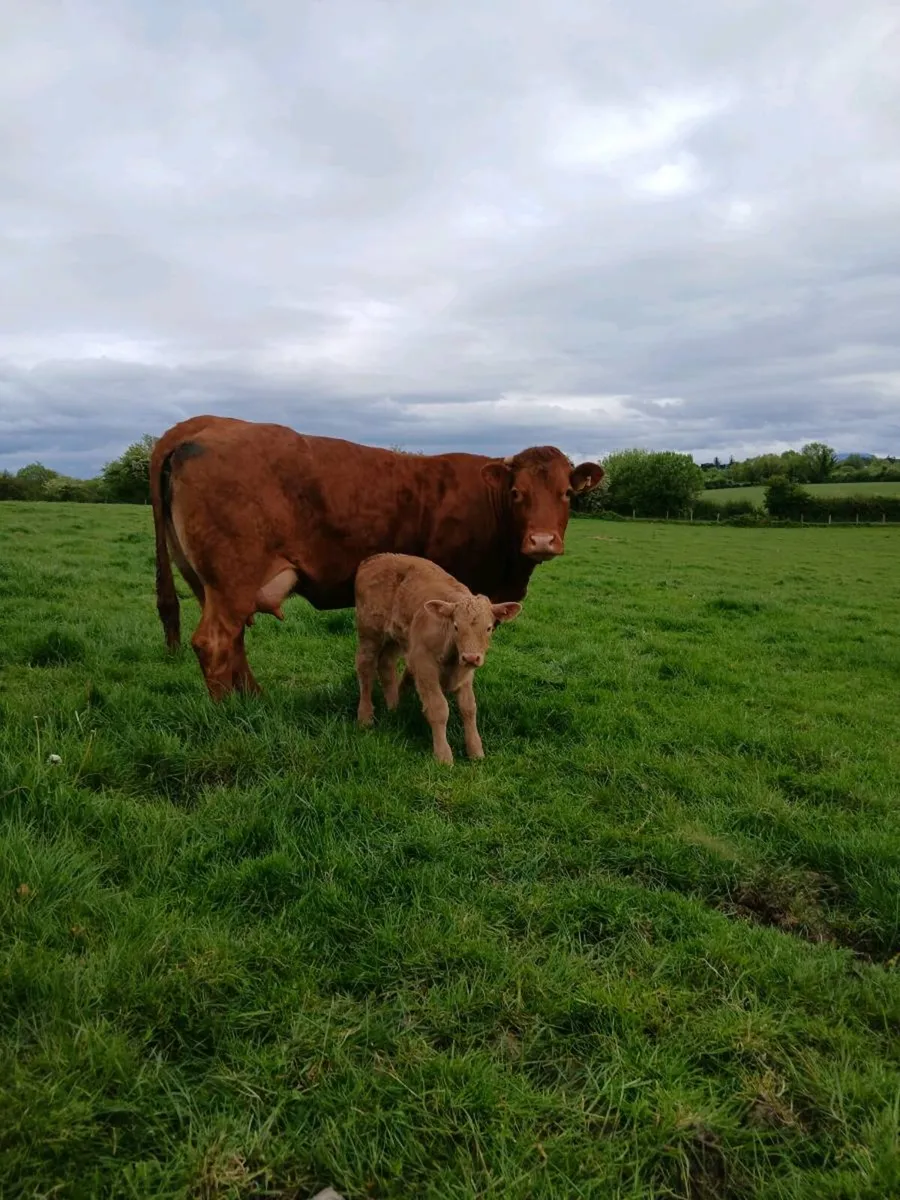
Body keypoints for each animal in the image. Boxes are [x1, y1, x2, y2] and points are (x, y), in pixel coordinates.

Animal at [149, 415, 603, 699]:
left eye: (567, 493)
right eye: (517, 493)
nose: (541, 541)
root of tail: (209, 425)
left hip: (215, 583)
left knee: (233, 640)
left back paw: (254, 699)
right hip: (232, 577)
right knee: (213, 643)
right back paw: (229, 712)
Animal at [354, 553, 521, 764]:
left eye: (489, 628)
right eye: (456, 626)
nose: (471, 657)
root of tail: (372, 559)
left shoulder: (465, 674)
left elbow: (469, 708)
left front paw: (475, 750)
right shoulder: (424, 665)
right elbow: (439, 708)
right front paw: (443, 755)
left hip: (394, 639)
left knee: (386, 665)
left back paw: (394, 707)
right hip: (370, 634)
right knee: (365, 668)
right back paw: (365, 716)